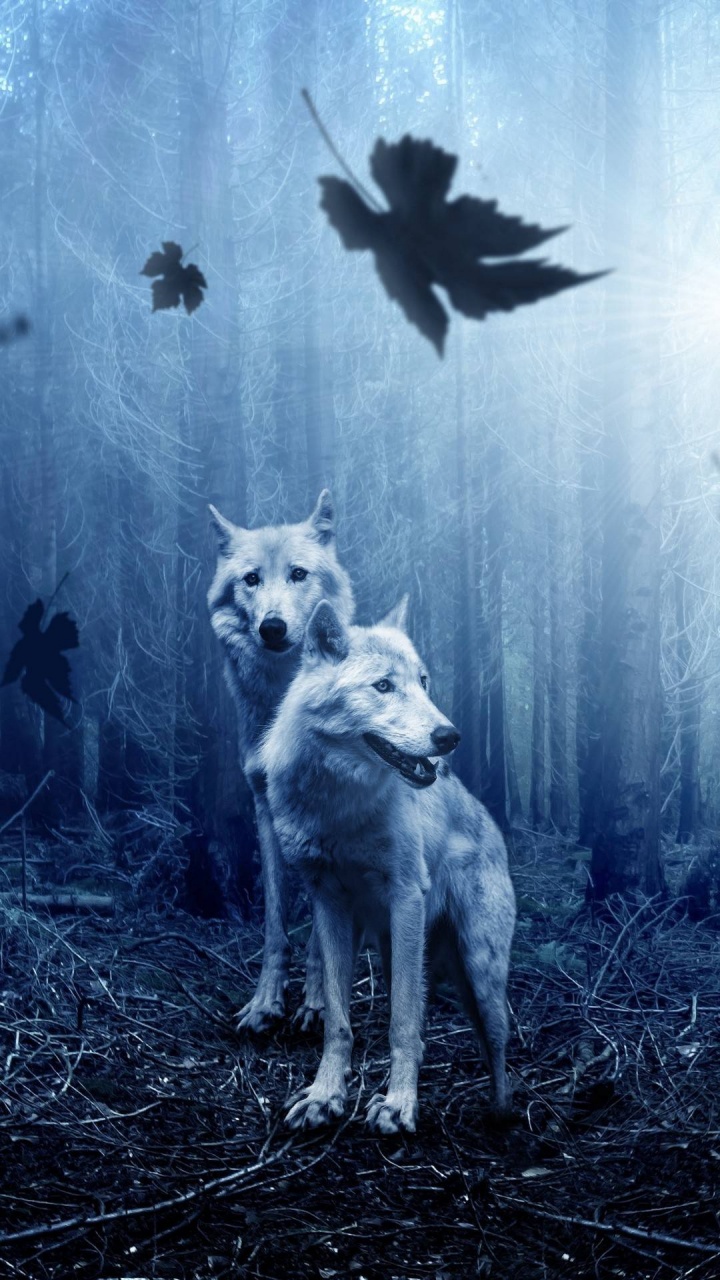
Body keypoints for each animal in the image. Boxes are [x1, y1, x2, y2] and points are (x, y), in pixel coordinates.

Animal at [208, 492, 354, 1031]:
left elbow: (320, 933)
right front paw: (265, 1002)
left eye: (298, 573)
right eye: (251, 578)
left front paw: (317, 1004)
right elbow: (275, 922)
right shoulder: (265, 809)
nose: (272, 627)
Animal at [261, 596, 516, 1133]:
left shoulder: (405, 897)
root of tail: (491, 823)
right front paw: (324, 1096)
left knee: (498, 1043)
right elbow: (338, 1020)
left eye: (423, 682)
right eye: (383, 686)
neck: (339, 807)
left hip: (479, 968)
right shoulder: (329, 903)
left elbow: (402, 1022)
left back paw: (501, 1115)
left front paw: (399, 1106)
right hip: (395, 948)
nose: (450, 736)